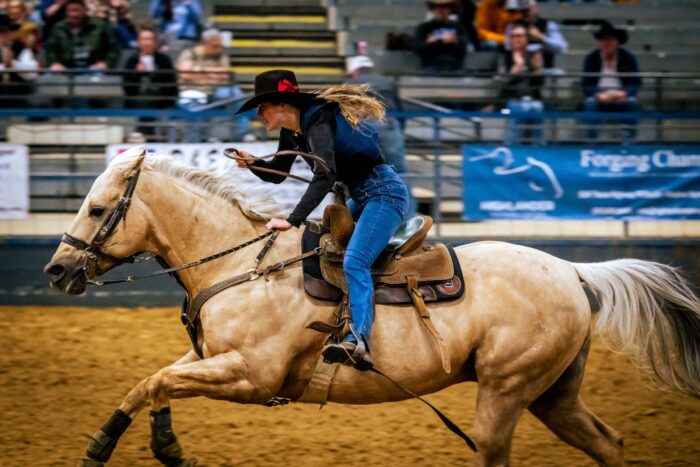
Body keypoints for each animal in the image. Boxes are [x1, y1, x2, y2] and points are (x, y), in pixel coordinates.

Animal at [45, 148, 700, 466]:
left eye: (99, 208)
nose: (56, 270)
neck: (244, 265)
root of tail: (571, 269)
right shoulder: (212, 359)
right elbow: (150, 382)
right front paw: (131, 446)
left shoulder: (252, 376)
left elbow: (157, 381)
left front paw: (142, 448)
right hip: (551, 394)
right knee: (608, 443)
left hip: (507, 391)